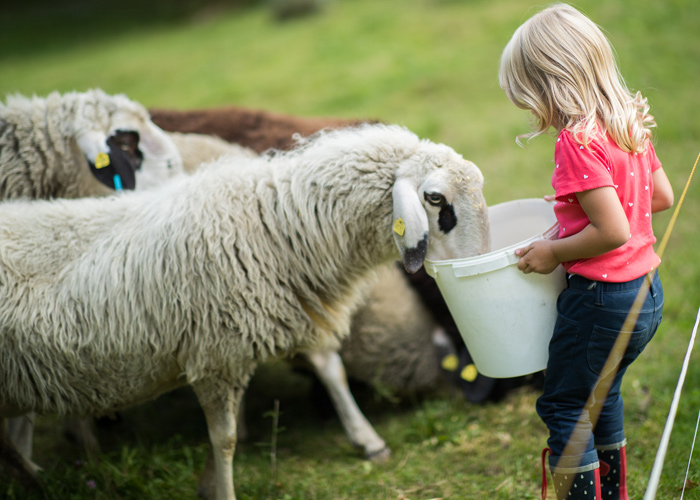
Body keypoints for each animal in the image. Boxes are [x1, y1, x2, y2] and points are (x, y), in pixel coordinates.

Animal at [0, 123, 490, 498]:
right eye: (435, 199)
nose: (478, 269)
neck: (273, 224)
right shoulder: (215, 356)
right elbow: (225, 438)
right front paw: (222, 487)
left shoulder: (281, 315)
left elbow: (328, 366)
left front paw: (366, 439)